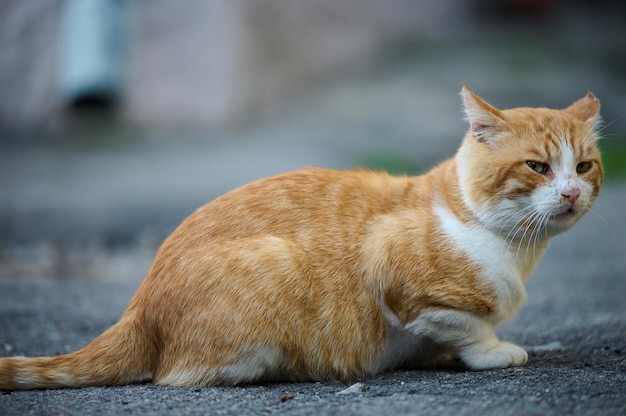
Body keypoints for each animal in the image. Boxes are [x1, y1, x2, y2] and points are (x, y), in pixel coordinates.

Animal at [1, 85, 604, 390]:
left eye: (585, 166)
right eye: (537, 167)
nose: (572, 192)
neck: (515, 249)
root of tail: (137, 307)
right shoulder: (396, 275)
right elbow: (468, 327)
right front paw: (492, 352)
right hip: (273, 269)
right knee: (178, 376)